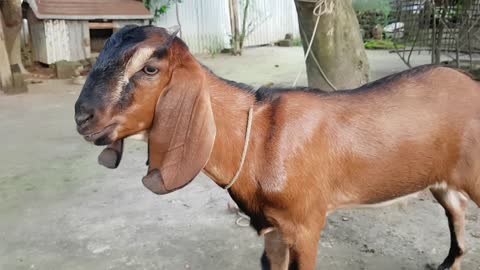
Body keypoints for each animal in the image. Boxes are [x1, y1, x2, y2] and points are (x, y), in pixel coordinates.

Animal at [74, 25, 480, 270]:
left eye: (149, 69)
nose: (82, 116)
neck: (257, 140)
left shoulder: (306, 224)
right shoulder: (272, 228)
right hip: (442, 179)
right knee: (456, 210)